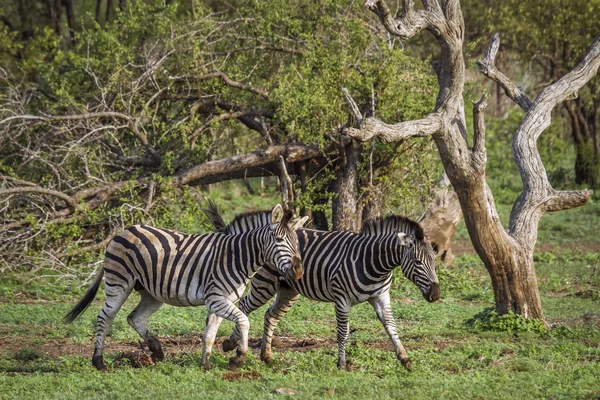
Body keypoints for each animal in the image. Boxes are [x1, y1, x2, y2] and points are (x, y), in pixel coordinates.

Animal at [63, 205, 308, 370]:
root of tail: (122, 231)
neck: (236, 257)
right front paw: (238, 356)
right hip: (119, 282)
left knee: (135, 318)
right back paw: (99, 362)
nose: (298, 272)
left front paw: (205, 364)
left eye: (297, 242)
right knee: (104, 318)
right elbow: (244, 320)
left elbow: (209, 334)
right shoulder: (216, 298)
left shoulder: (221, 300)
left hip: (152, 293)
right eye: (279, 240)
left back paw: (156, 350)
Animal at [206, 208, 440, 370]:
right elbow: (343, 332)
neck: (373, 261)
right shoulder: (342, 298)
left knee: (270, 315)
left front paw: (405, 358)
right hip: (265, 283)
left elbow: (391, 327)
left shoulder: (381, 296)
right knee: (245, 306)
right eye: (418, 262)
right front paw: (342, 364)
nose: (436, 294)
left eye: (434, 261)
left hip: (289, 289)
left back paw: (267, 356)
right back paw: (231, 345)